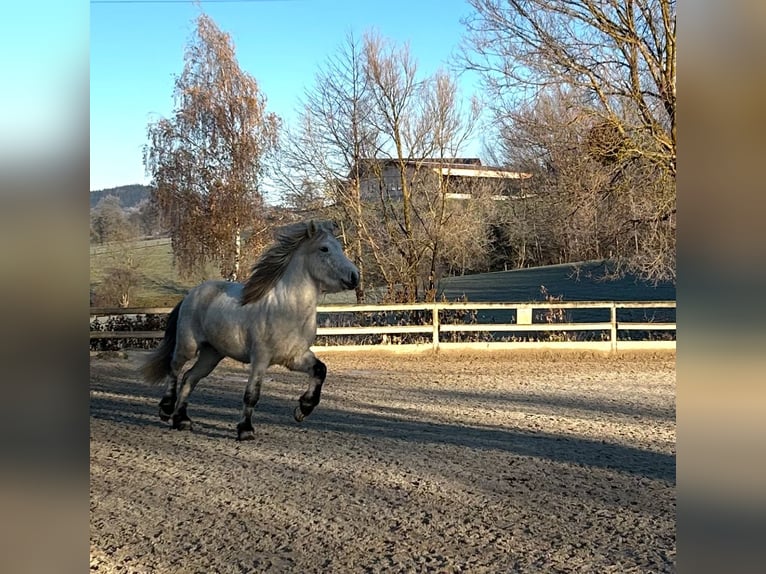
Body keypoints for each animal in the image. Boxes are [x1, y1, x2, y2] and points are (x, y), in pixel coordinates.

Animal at [142, 220, 360, 440]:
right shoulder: (260, 359)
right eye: (324, 249)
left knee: (189, 378)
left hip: (212, 354)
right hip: (187, 346)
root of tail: (191, 294)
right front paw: (245, 430)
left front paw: (303, 409)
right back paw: (166, 410)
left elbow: (320, 369)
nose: (354, 277)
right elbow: (252, 394)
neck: (287, 309)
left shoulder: (294, 357)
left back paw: (182, 420)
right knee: (174, 369)